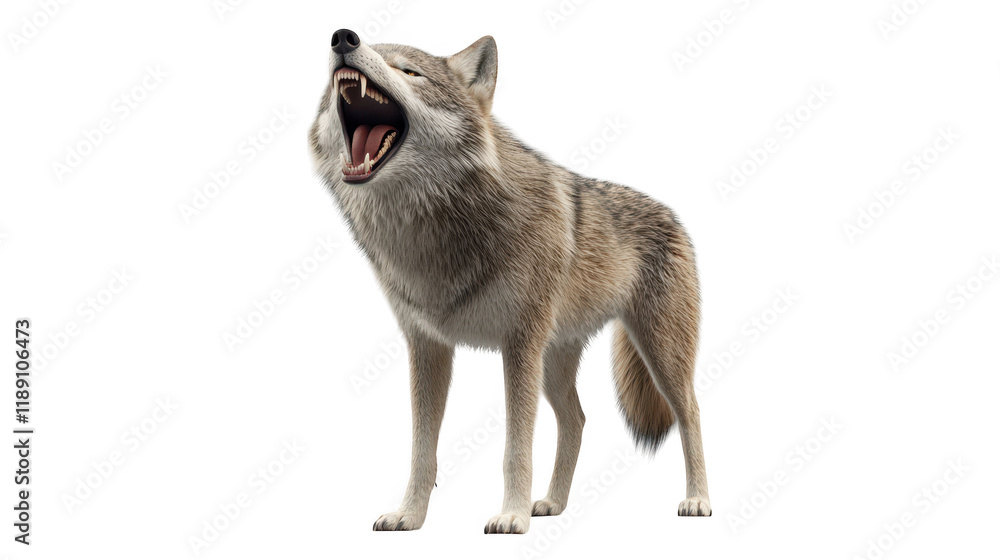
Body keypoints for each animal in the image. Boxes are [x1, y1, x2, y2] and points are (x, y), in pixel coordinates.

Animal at [309, 29, 711, 534]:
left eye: (409, 71)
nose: (343, 38)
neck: (436, 232)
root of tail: (673, 215)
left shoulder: (519, 344)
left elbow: (515, 447)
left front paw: (512, 516)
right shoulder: (427, 346)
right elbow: (422, 450)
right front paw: (410, 515)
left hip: (659, 357)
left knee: (691, 414)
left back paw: (698, 500)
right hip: (555, 364)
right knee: (577, 420)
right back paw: (553, 503)